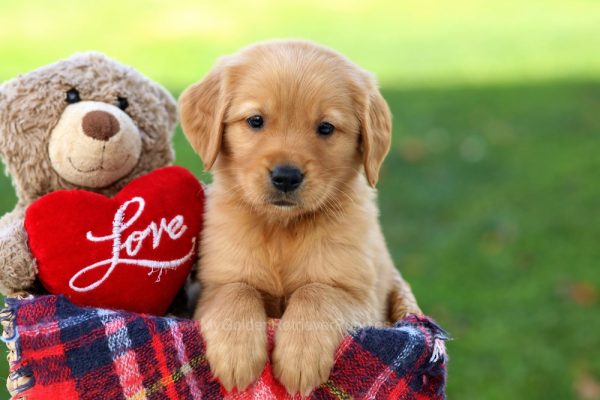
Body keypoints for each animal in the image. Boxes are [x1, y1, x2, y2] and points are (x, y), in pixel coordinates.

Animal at [180, 39, 420, 396]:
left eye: (326, 128)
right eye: (255, 120)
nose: (286, 177)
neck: (282, 229)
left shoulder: (364, 300)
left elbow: (316, 291)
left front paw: (299, 358)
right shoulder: (214, 285)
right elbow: (238, 290)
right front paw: (237, 356)